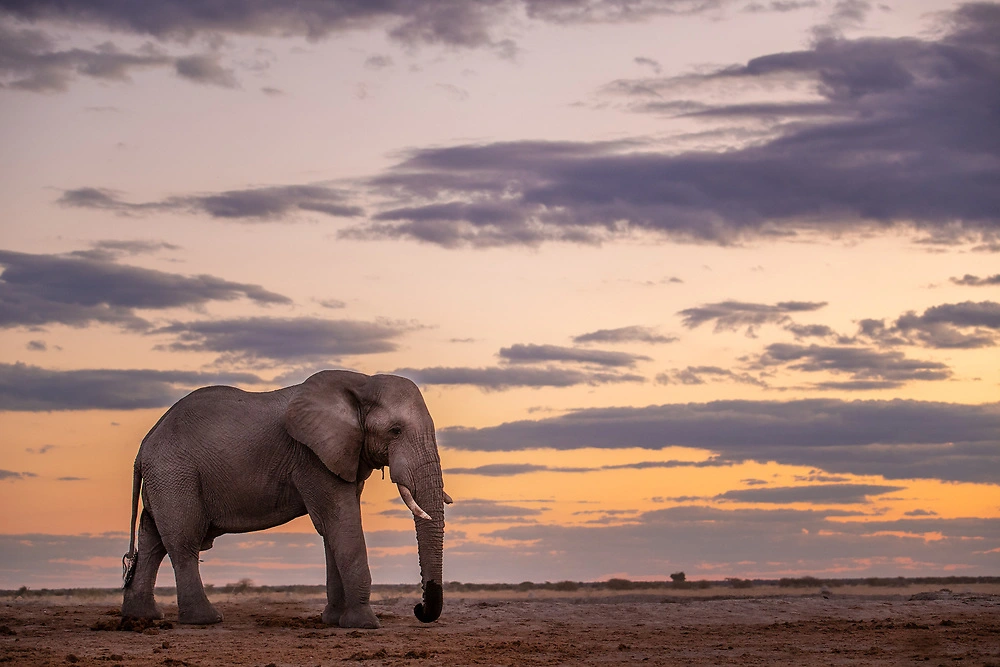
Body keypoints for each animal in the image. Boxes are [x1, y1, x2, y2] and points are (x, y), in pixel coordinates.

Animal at [119, 370, 452, 632]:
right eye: (395, 431)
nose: (419, 609)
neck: (361, 382)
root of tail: (143, 447)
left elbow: (333, 529)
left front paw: (333, 621)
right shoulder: (310, 457)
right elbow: (340, 523)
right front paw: (364, 624)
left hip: (165, 479)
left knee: (152, 542)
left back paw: (141, 618)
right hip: (175, 474)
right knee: (183, 542)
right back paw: (206, 620)